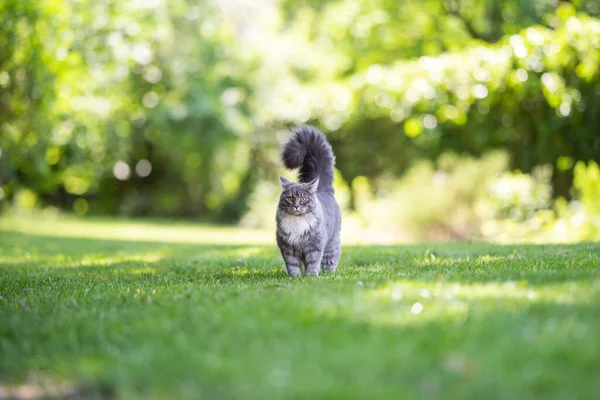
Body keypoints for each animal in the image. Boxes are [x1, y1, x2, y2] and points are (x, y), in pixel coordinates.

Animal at [274, 126, 340, 276]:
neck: (297, 222)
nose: (296, 206)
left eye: (303, 199)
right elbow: (292, 265)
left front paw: (310, 277)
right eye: (290, 198)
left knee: (331, 258)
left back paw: (329, 273)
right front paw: (296, 277)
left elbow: (312, 263)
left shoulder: (314, 246)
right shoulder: (287, 249)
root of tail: (323, 190)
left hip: (332, 242)